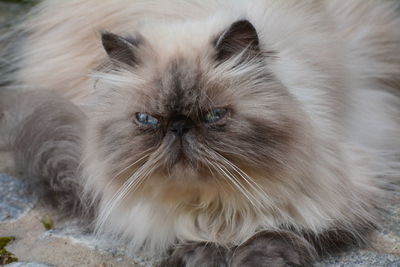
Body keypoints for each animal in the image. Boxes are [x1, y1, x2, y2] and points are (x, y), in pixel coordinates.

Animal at [0, 0, 400, 266]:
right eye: (148, 120)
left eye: (213, 116)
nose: (179, 127)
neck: (214, 205)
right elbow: (184, 234)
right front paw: (202, 256)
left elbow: (275, 231)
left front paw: (256, 260)